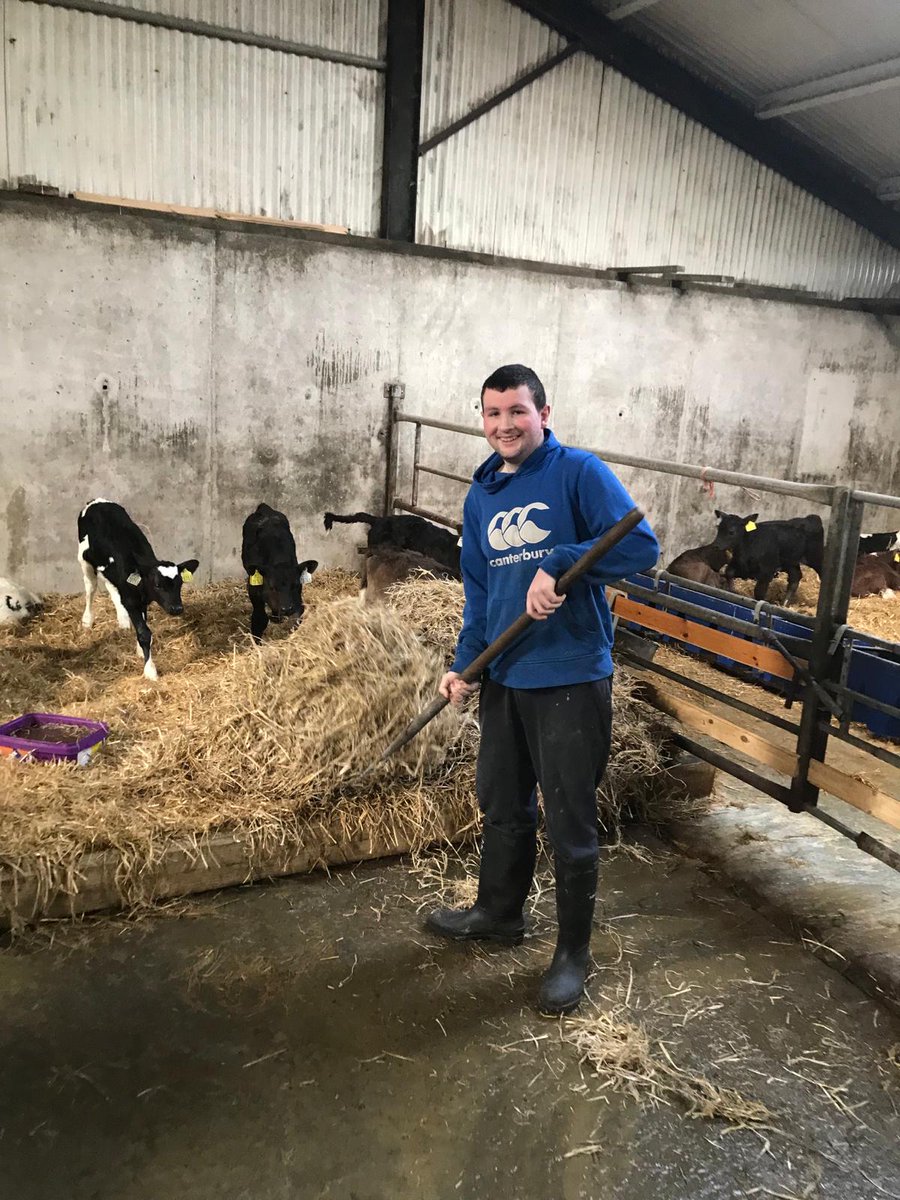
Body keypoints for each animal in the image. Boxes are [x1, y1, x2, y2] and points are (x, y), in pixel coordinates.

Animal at [77, 499, 199, 686]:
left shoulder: (140, 600)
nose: (177, 608)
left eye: (180, 584)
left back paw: (122, 620)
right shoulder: (131, 600)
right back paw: (87, 620)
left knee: (110, 587)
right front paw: (150, 670)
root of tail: (96, 501)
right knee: (90, 587)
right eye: (157, 585)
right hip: (84, 560)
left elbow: (143, 626)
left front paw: (141, 651)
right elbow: (144, 633)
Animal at [241, 504, 319, 643]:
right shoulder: (254, 591)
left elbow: (298, 615)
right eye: (272, 587)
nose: (286, 608)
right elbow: (259, 619)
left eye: (295, 585)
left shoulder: (297, 598)